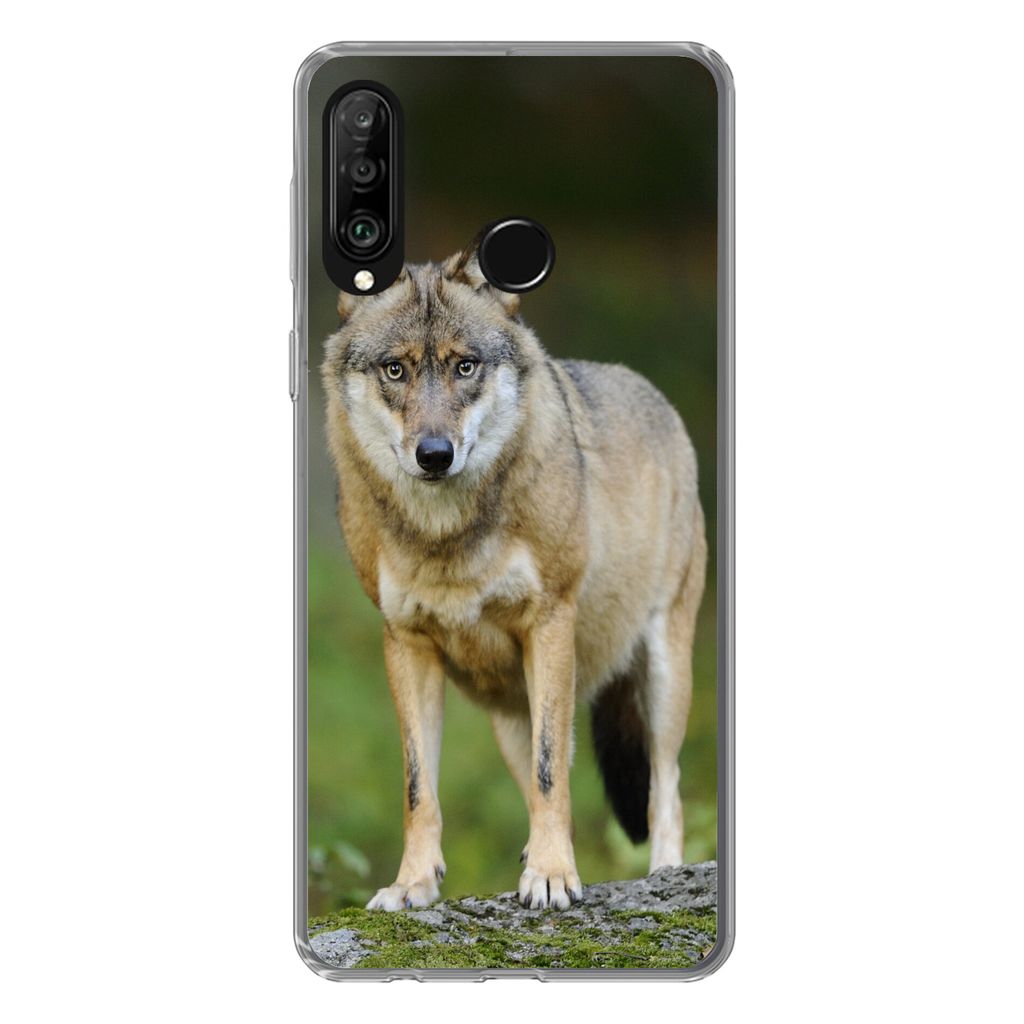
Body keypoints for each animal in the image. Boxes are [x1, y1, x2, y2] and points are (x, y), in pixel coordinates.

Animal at [321, 238, 706, 911]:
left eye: (465, 367)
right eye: (395, 371)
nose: (434, 455)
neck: (447, 539)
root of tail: (649, 389)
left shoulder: (550, 621)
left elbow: (553, 774)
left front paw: (552, 877)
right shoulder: (405, 643)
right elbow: (419, 788)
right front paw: (413, 884)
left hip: (662, 676)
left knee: (666, 788)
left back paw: (661, 875)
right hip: (509, 714)